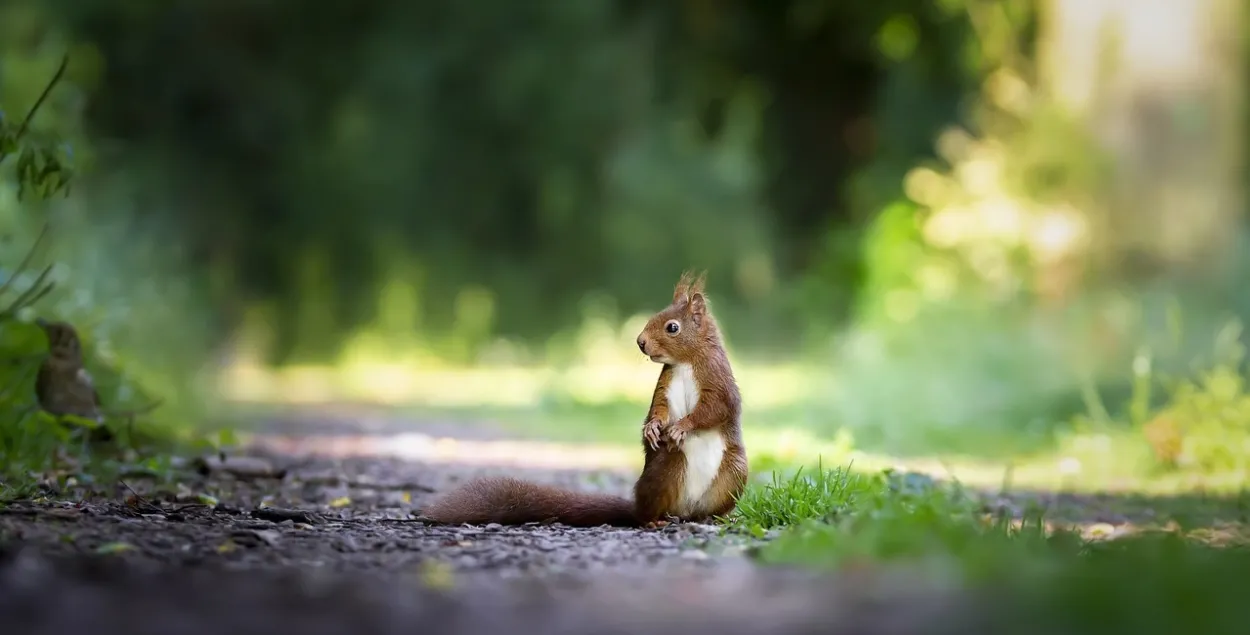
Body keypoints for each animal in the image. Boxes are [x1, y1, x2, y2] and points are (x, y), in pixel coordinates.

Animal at [419, 271, 748, 528]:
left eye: (673, 327)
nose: (640, 342)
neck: (686, 363)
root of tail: (685, 510)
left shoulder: (717, 380)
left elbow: (715, 409)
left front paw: (681, 426)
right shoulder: (665, 385)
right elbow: (659, 408)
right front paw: (652, 428)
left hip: (734, 473)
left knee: (707, 508)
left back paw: (715, 517)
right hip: (668, 468)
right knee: (647, 512)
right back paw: (654, 519)